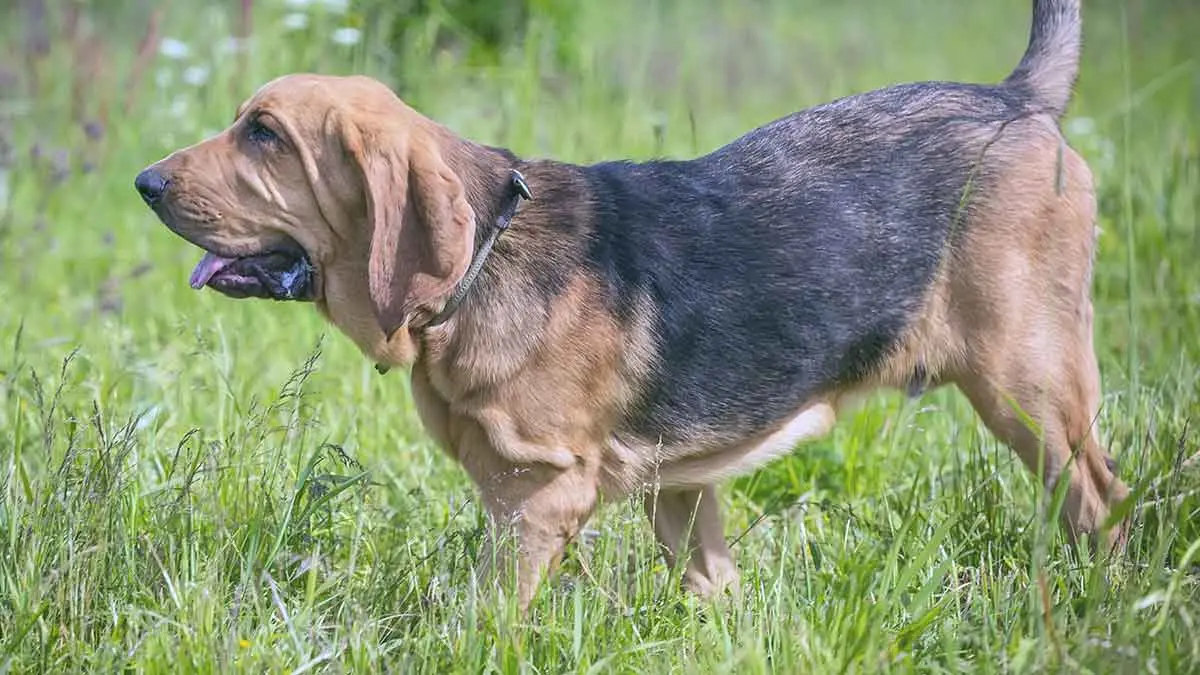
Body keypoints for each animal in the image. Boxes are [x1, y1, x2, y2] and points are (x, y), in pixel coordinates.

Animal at [136, 0, 1128, 610]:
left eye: (264, 136)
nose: (144, 183)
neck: (486, 256)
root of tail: (1017, 97)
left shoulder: (537, 497)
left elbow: (483, 615)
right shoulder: (679, 489)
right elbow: (713, 586)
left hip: (1031, 389)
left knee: (1103, 501)